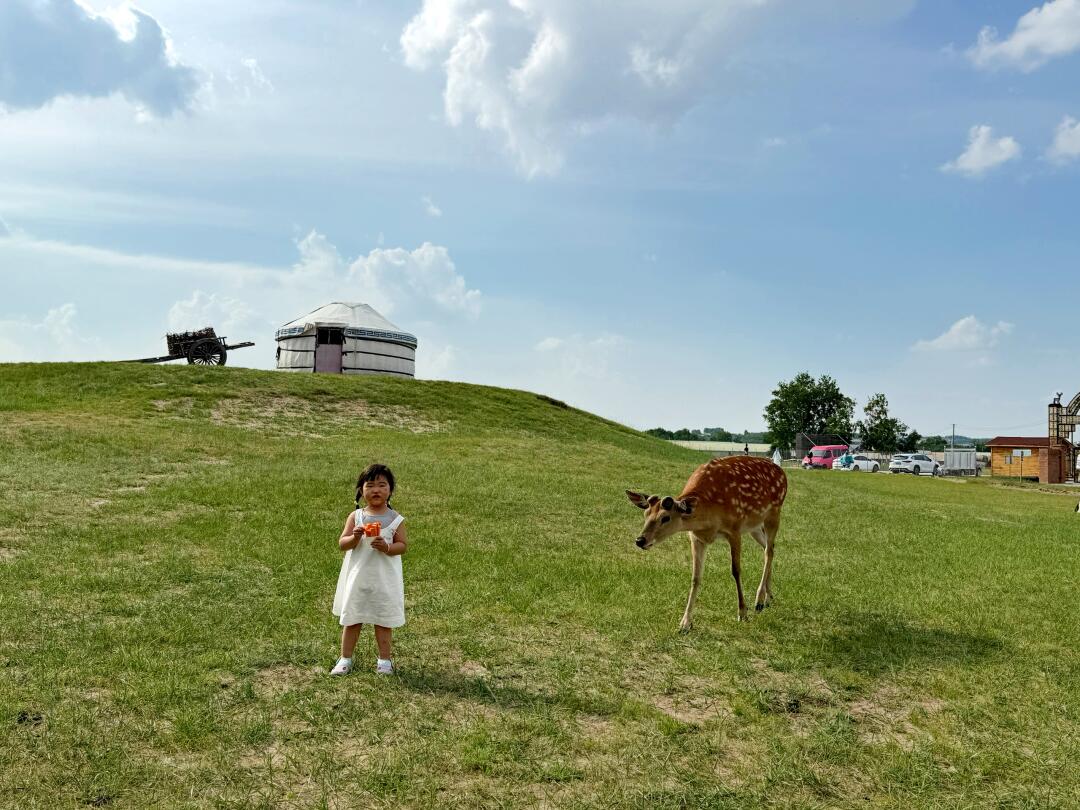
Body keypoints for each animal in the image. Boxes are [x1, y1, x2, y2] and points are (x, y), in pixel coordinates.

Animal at [626, 455, 788, 631]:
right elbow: (695, 577)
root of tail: (782, 471)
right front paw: (685, 623)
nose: (640, 540)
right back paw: (768, 598)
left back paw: (759, 600)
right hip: (755, 526)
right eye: (646, 514)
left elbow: (736, 570)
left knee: (769, 551)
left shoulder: (735, 529)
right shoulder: (695, 537)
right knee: (769, 548)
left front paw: (742, 613)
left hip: (774, 513)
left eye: (665, 518)